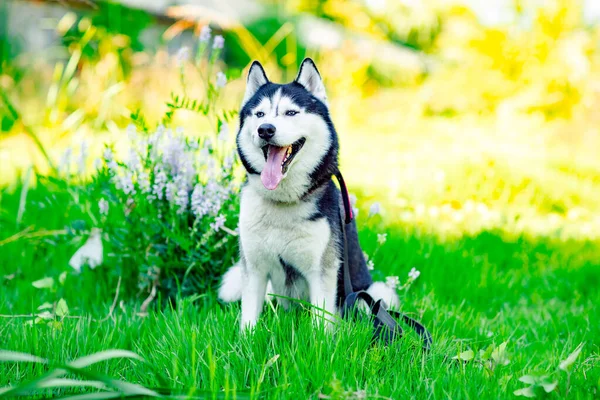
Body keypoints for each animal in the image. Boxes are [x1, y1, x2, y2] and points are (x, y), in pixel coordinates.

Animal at [217, 58, 398, 328]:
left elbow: (320, 323)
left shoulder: (322, 271)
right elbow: (249, 320)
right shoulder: (255, 268)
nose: (265, 129)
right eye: (259, 114)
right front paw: (246, 338)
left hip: (374, 294)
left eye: (291, 113)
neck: (282, 203)